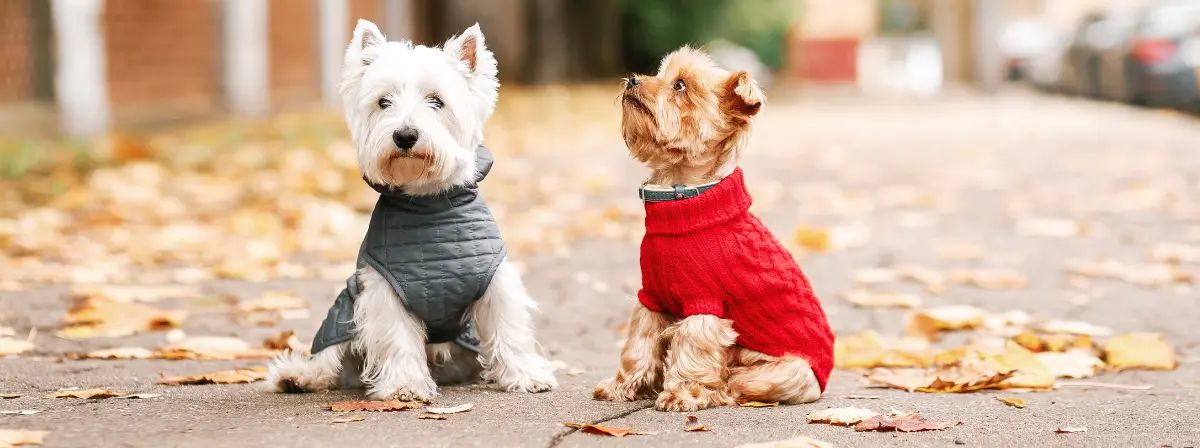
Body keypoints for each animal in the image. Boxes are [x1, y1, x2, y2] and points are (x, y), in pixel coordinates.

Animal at [267, 19, 556, 398]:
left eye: (436, 101)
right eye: (383, 102)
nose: (405, 136)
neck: (429, 206)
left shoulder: (495, 279)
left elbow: (508, 327)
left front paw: (526, 375)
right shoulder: (385, 289)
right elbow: (397, 336)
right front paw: (404, 385)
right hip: (344, 306)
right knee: (329, 355)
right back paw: (299, 376)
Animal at [592, 47, 835, 410]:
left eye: (679, 85)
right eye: (659, 73)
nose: (633, 79)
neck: (682, 198)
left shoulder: (705, 304)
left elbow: (692, 350)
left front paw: (679, 394)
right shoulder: (651, 298)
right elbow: (638, 345)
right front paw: (622, 386)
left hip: (787, 371)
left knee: (733, 383)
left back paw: (714, 391)